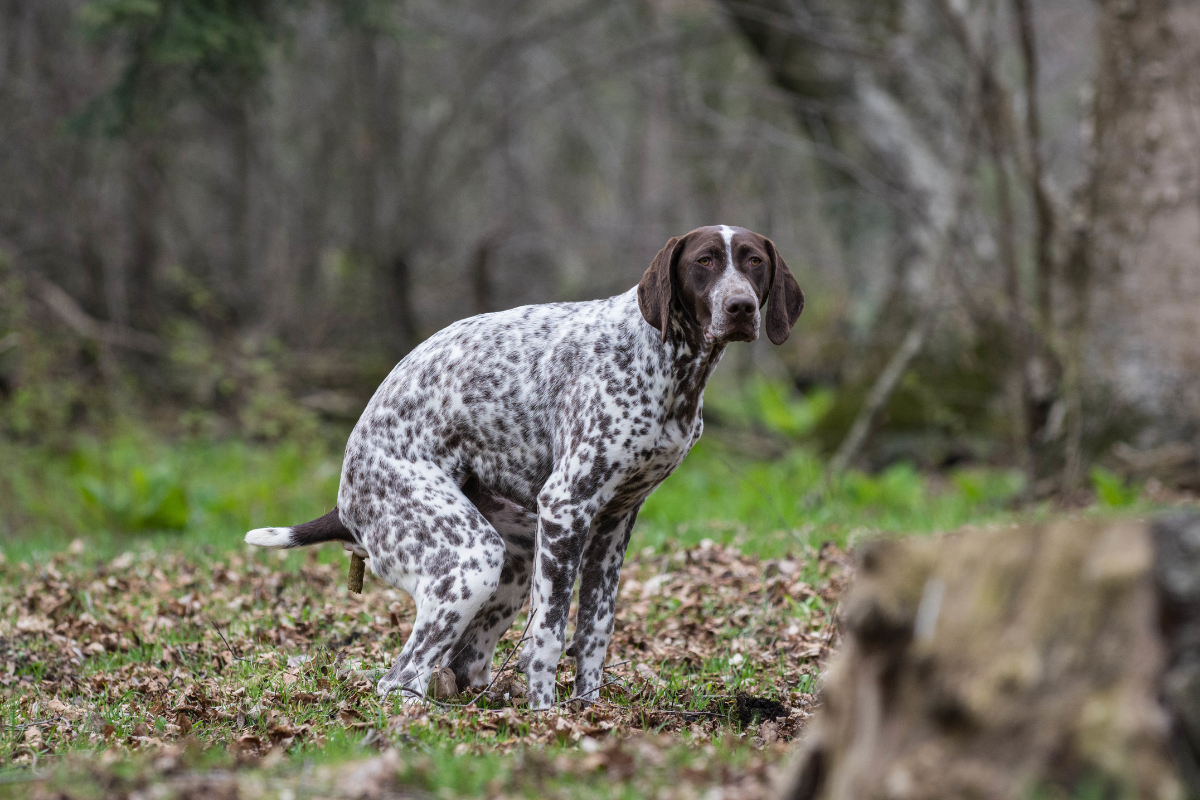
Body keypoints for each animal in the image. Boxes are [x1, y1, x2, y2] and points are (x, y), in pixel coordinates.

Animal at [241, 225, 806, 705]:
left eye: (754, 262)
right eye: (704, 261)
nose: (740, 306)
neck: (666, 362)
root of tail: (344, 499)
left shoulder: (614, 523)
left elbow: (594, 633)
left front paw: (587, 712)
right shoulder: (566, 508)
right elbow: (548, 636)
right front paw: (547, 719)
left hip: (514, 556)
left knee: (462, 664)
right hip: (470, 559)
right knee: (400, 677)